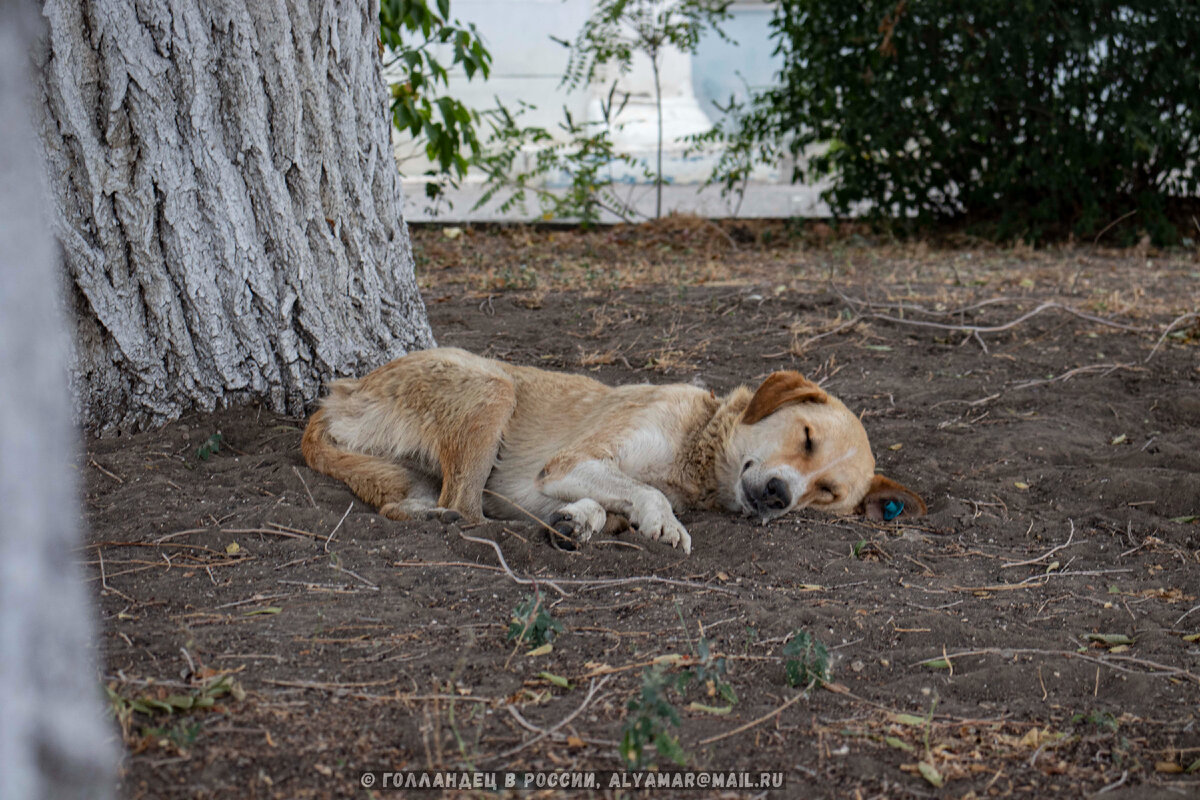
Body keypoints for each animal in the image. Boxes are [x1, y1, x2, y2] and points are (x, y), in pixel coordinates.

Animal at [304, 347, 921, 554]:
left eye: (827, 493)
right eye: (807, 437)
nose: (777, 496)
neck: (696, 448)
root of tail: (340, 393)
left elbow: (617, 499)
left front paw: (586, 519)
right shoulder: (569, 464)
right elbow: (644, 492)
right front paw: (659, 521)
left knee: (417, 503)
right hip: (493, 388)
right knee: (464, 506)